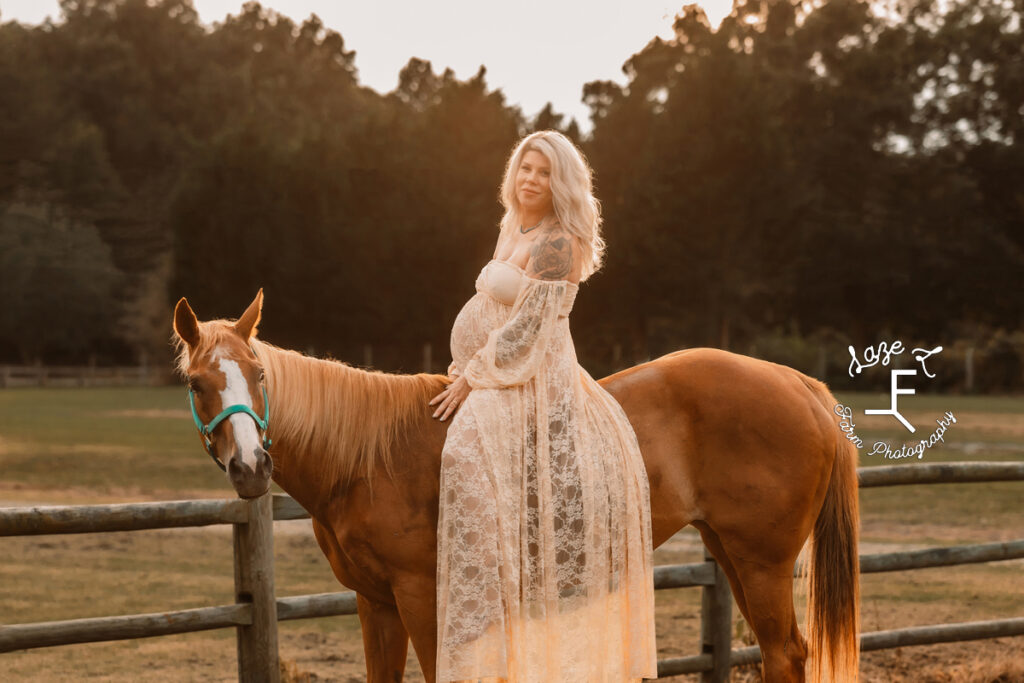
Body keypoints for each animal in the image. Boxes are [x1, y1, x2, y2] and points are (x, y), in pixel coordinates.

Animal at [172, 290, 860, 679]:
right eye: (198, 384)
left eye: (259, 373)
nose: (252, 468)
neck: (371, 457)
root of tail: (800, 384)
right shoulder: (377, 603)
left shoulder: (426, 599)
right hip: (732, 554)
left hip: (763, 563)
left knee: (785, 654)